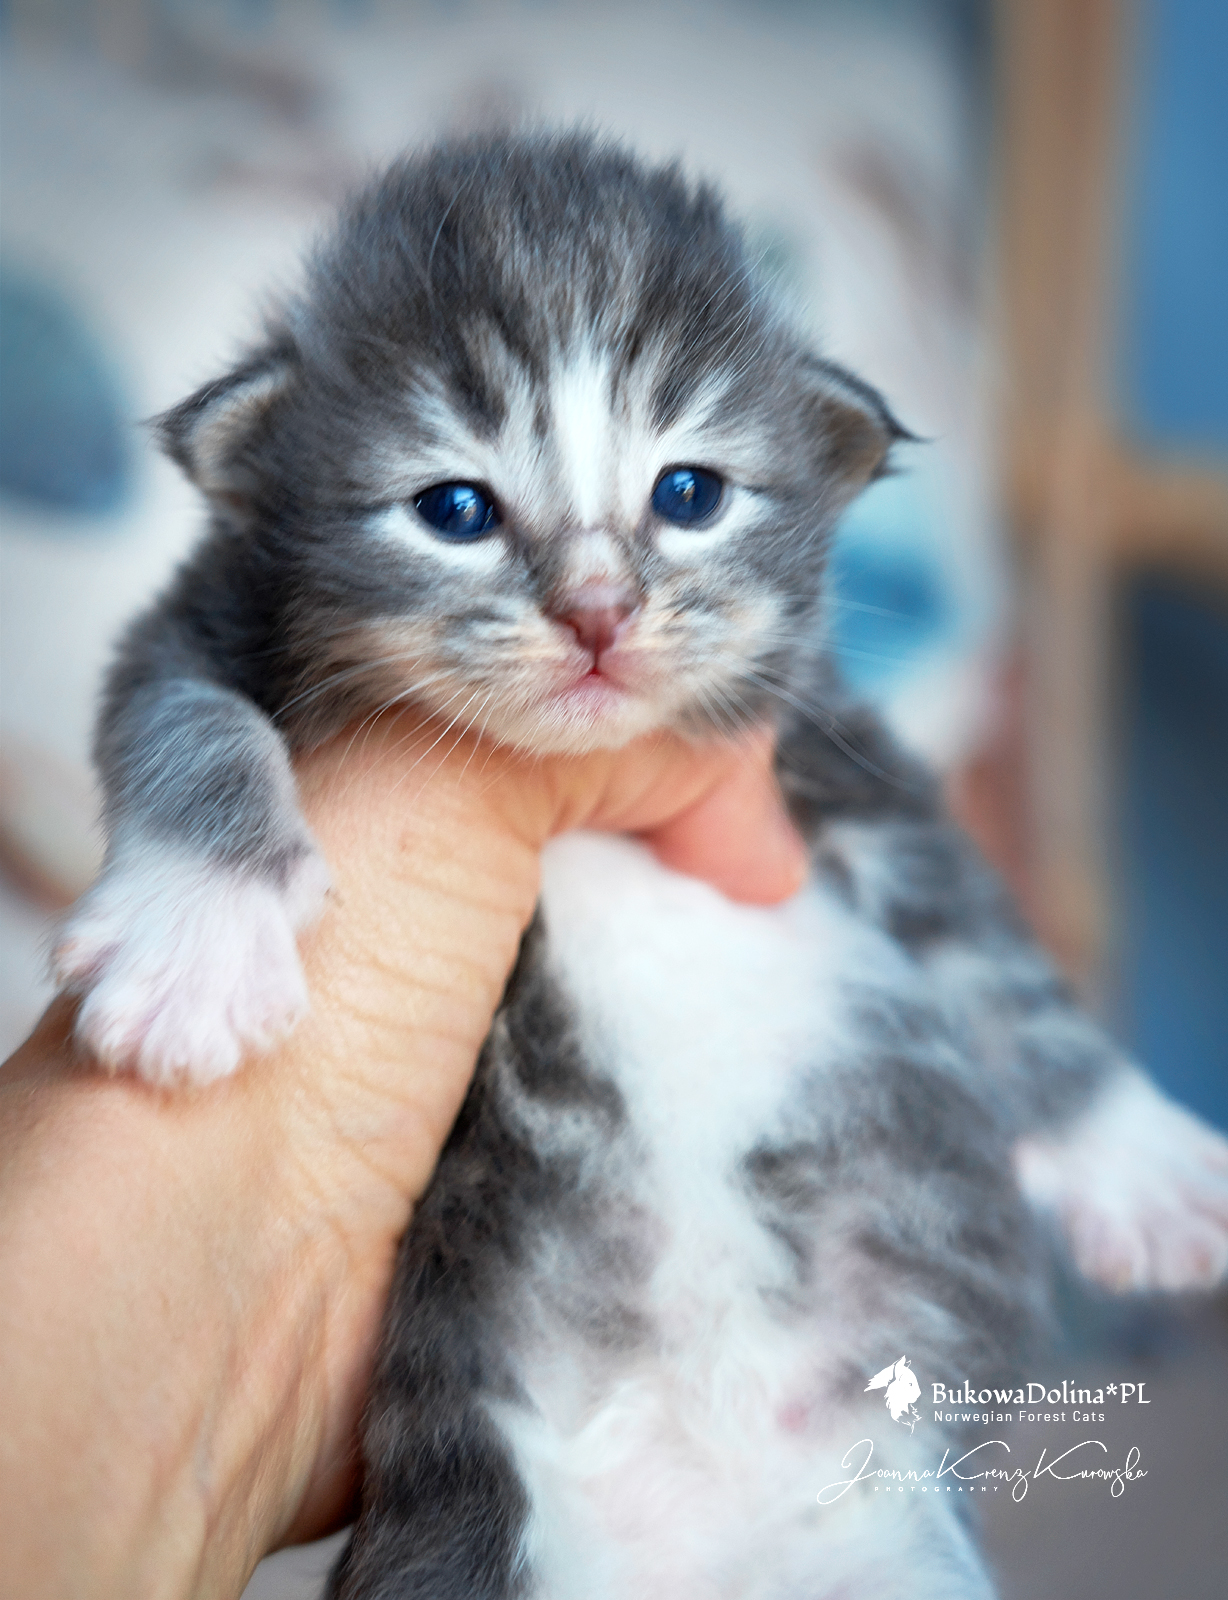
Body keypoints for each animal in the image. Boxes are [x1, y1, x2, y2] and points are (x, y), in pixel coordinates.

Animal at [53, 132, 1228, 1598]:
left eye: (688, 495)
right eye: (455, 509)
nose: (600, 613)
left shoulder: (831, 766)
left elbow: (990, 953)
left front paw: (1144, 1161)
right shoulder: (191, 625)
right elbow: (187, 723)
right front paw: (198, 944)